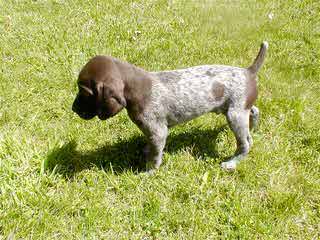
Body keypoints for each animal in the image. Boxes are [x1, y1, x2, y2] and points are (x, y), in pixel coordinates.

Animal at [72, 41, 268, 172]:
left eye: (84, 92)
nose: (73, 109)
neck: (136, 88)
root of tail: (248, 71)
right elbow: (151, 146)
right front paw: (146, 150)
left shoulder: (158, 132)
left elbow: (155, 155)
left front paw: (149, 171)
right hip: (237, 109)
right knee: (254, 112)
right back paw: (254, 127)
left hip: (234, 115)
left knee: (245, 144)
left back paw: (232, 163)